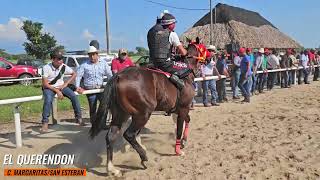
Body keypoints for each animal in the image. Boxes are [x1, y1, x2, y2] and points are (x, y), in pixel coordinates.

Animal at [89, 44, 201, 176]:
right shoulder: (183, 108)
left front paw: (184, 140)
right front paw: (178, 150)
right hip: (143, 114)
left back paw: (112, 169)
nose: (209, 58)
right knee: (129, 134)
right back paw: (144, 158)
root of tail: (119, 76)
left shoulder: (179, 110)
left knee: (111, 136)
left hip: (121, 114)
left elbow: (187, 121)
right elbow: (179, 128)